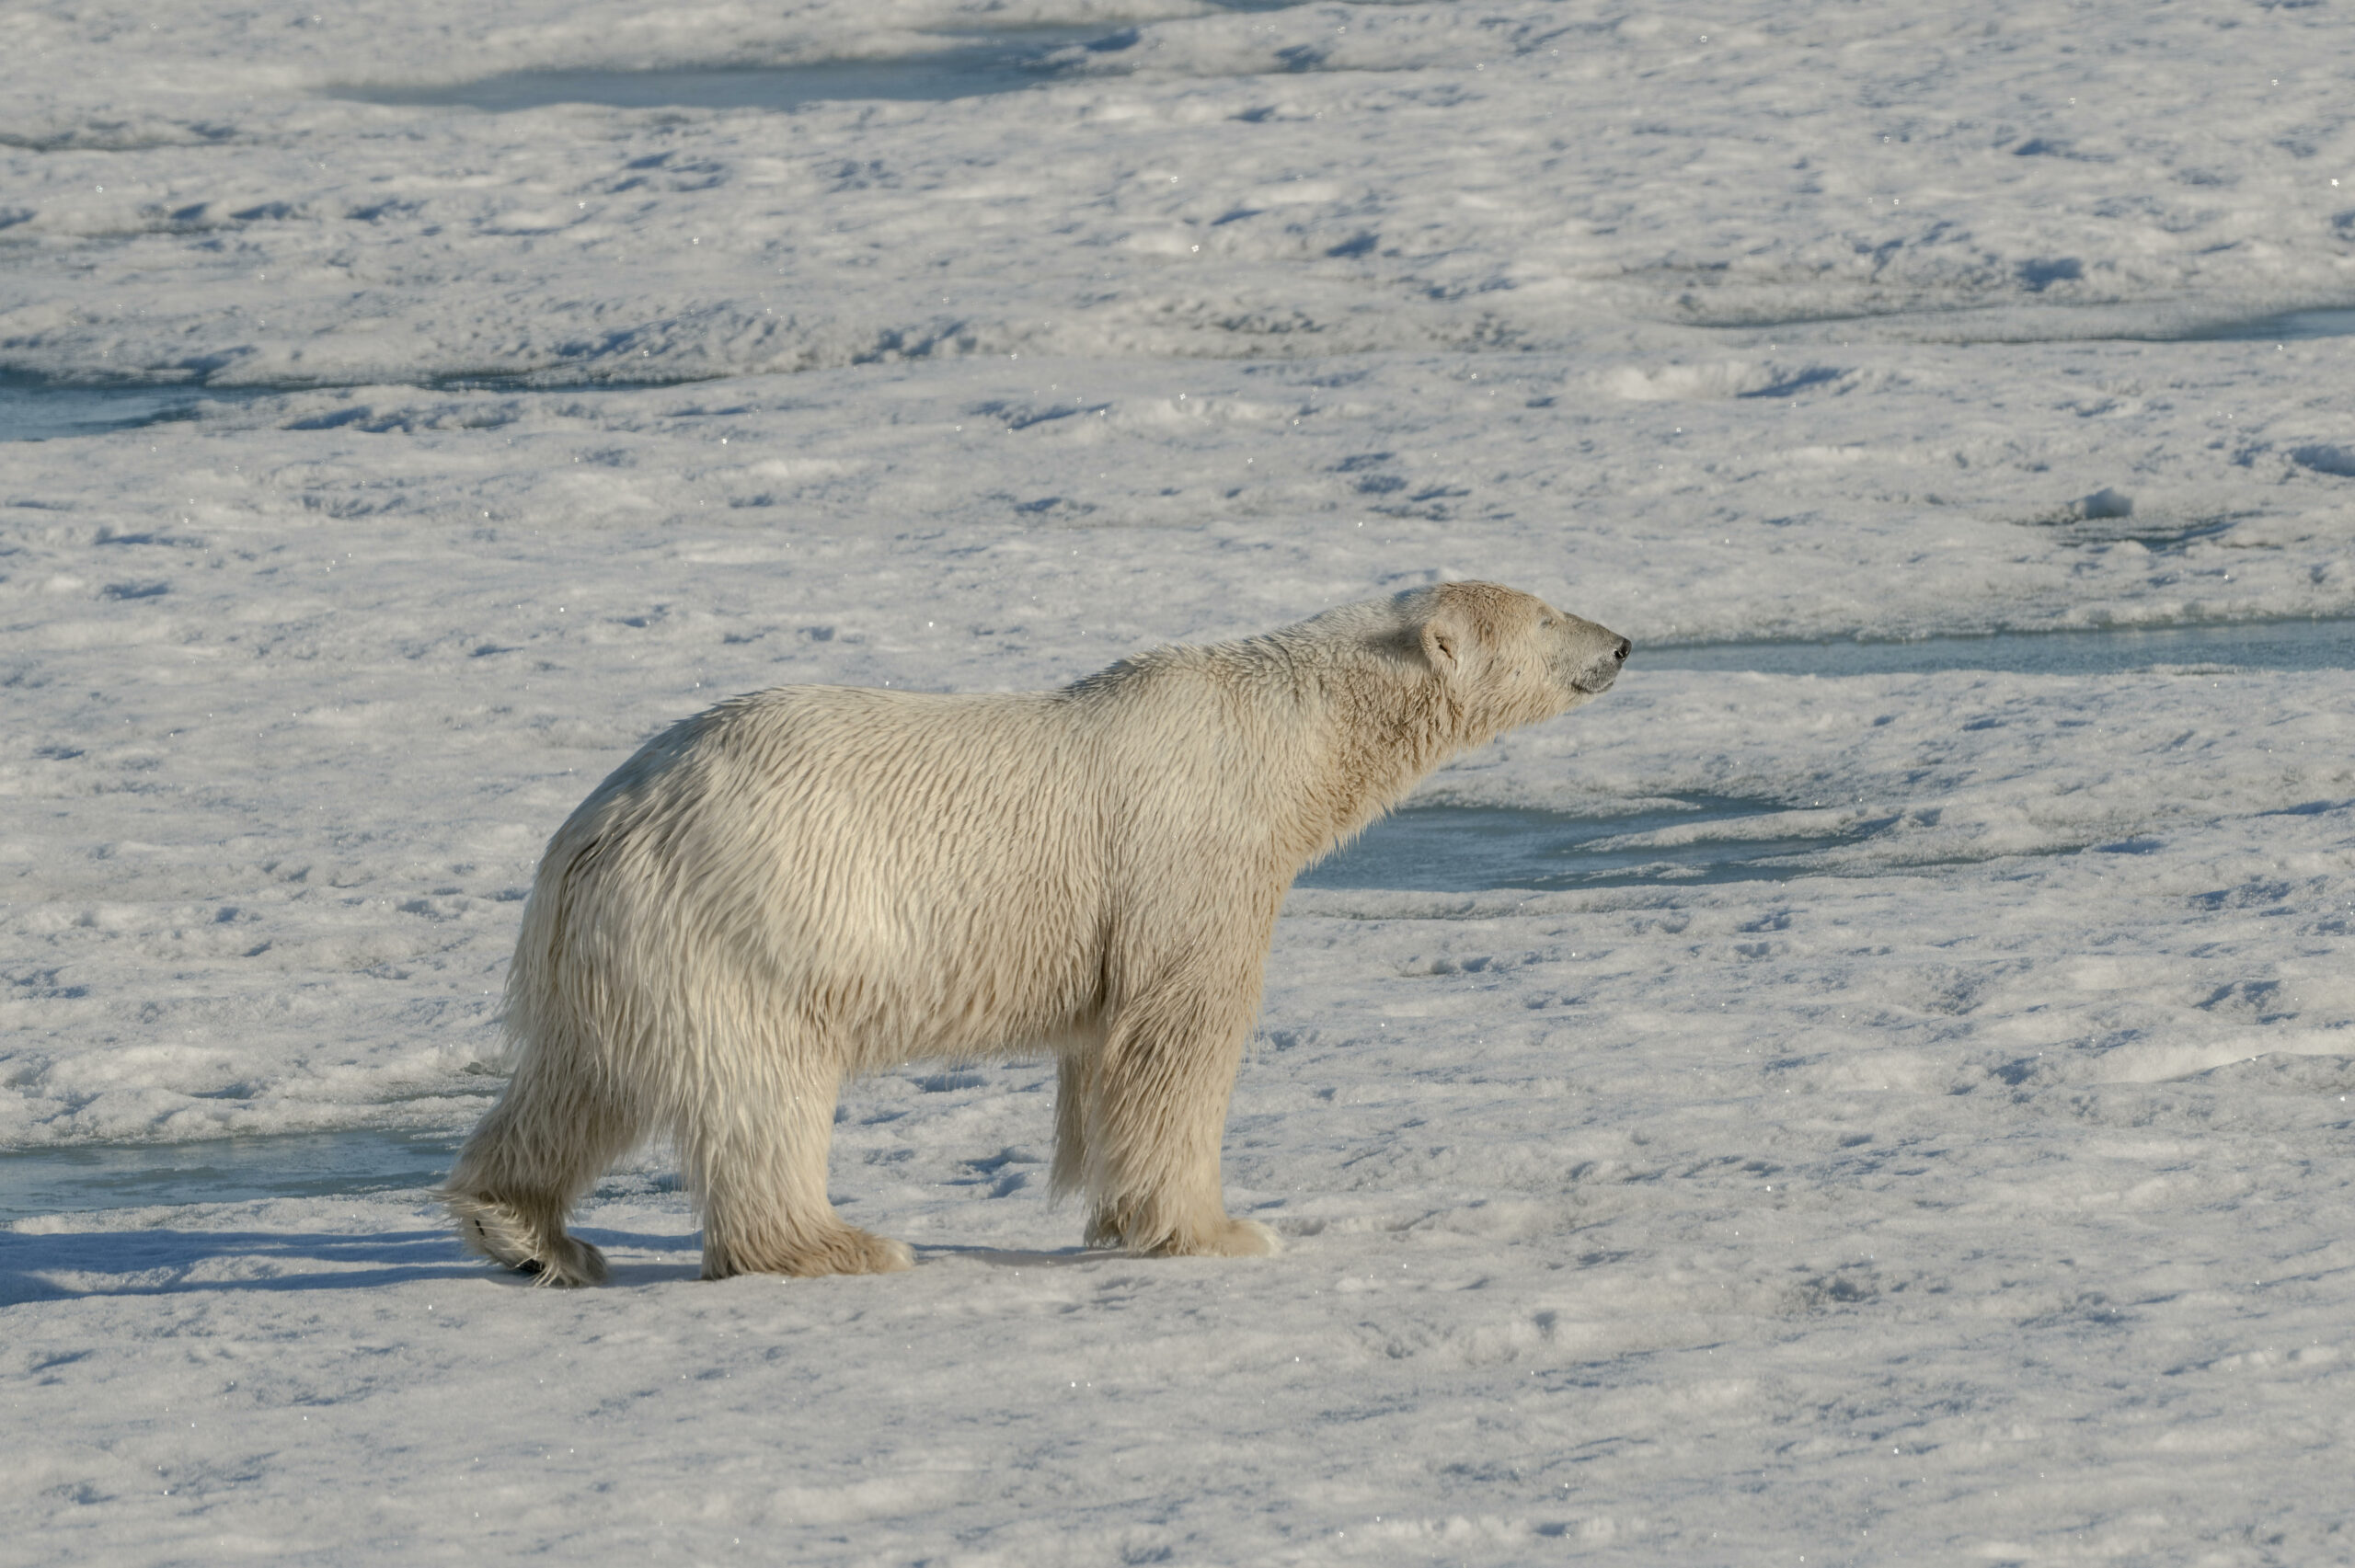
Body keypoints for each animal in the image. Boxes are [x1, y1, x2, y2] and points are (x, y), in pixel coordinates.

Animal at [442, 578, 1629, 1280]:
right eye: (1544, 616)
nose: (1622, 642)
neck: (1284, 741)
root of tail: (598, 827)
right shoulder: (1190, 856)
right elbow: (1182, 1033)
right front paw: (1219, 1228)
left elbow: (1105, 1054)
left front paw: (1117, 1214)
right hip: (749, 922)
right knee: (759, 1094)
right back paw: (837, 1242)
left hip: (620, 947)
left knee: (578, 1083)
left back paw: (528, 1231)